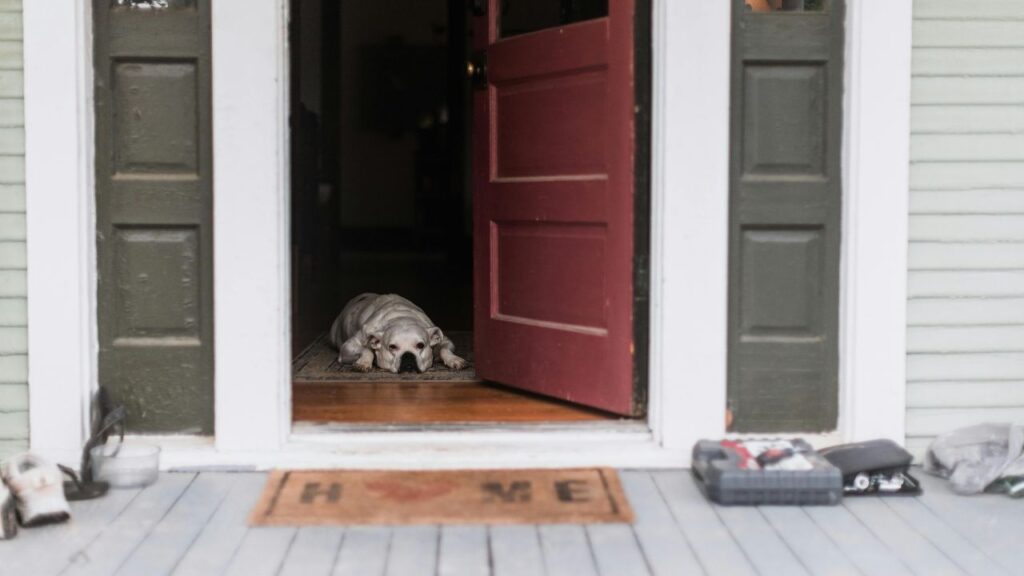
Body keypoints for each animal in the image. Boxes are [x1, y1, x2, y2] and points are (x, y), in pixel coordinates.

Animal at [327, 291, 468, 373]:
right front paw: (363, 362)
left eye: (420, 345)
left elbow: (445, 349)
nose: (408, 355)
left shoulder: (445, 340)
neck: (401, 318)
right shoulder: (348, 347)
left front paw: (454, 359)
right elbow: (366, 349)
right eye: (392, 347)